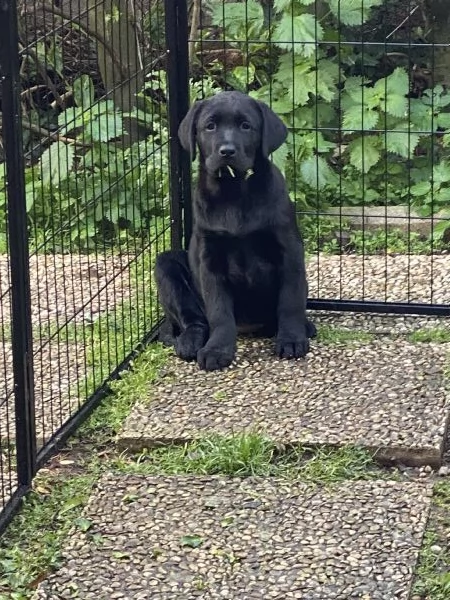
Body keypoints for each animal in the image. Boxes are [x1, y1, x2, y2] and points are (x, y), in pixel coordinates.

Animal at [156, 90, 314, 370]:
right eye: (210, 126)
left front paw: (292, 338)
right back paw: (190, 343)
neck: (234, 190)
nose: (227, 151)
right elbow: (219, 311)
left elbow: (291, 299)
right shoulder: (209, 258)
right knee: (195, 319)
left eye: (245, 126)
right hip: (166, 266)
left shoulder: (289, 250)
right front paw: (217, 349)